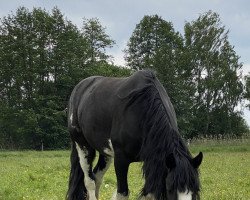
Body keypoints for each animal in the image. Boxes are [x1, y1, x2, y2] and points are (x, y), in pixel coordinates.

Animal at [66, 69, 203, 199]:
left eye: (196, 189)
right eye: (169, 189)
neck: (142, 111)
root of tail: (79, 88)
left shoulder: (153, 160)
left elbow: (149, 194)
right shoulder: (121, 160)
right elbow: (122, 193)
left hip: (105, 151)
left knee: (97, 177)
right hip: (82, 145)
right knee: (89, 181)